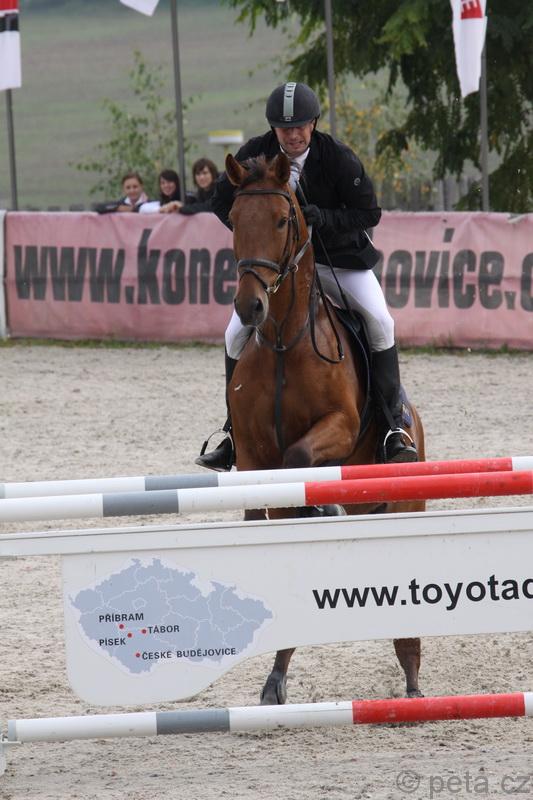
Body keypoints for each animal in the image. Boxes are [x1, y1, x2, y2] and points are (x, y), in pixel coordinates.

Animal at [225, 151, 426, 705]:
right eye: (233, 220)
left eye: (282, 220)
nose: (249, 307)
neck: (282, 340)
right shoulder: (251, 452)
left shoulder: (339, 426)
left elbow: (300, 459)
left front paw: (322, 504)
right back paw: (275, 681)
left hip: (406, 503)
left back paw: (413, 682)